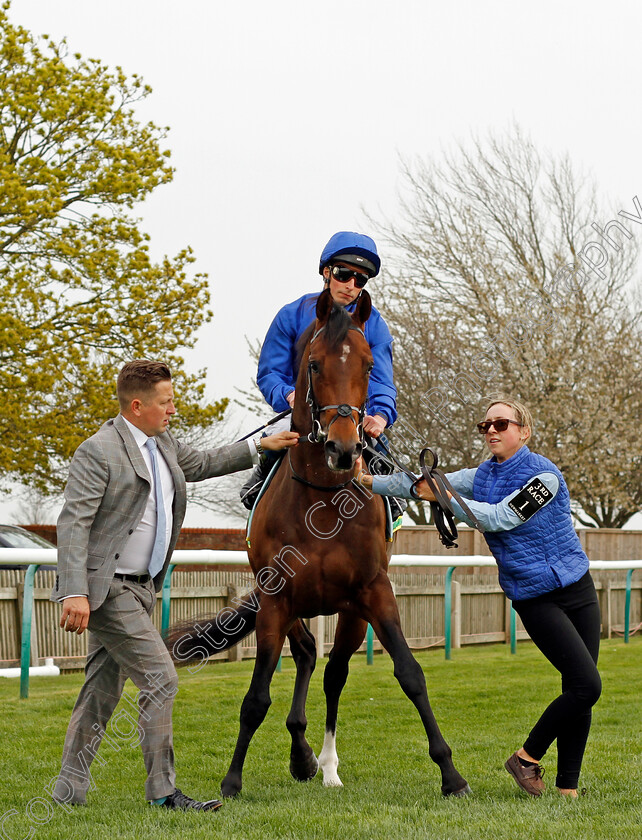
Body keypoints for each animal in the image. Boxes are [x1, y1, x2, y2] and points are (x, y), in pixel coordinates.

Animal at [168, 290, 468, 800]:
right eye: (313, 364)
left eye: (369, 364)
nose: (344, 448)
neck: (324, 501)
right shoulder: (275, 597)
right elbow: (256, 696)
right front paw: (232, 780)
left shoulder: (373, 591)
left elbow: (410, 674)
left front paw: (450, 773)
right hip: (292, 605)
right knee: (308, 652)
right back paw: (302, 755)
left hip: (348, 612)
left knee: (332, 673)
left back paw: (325, 764)